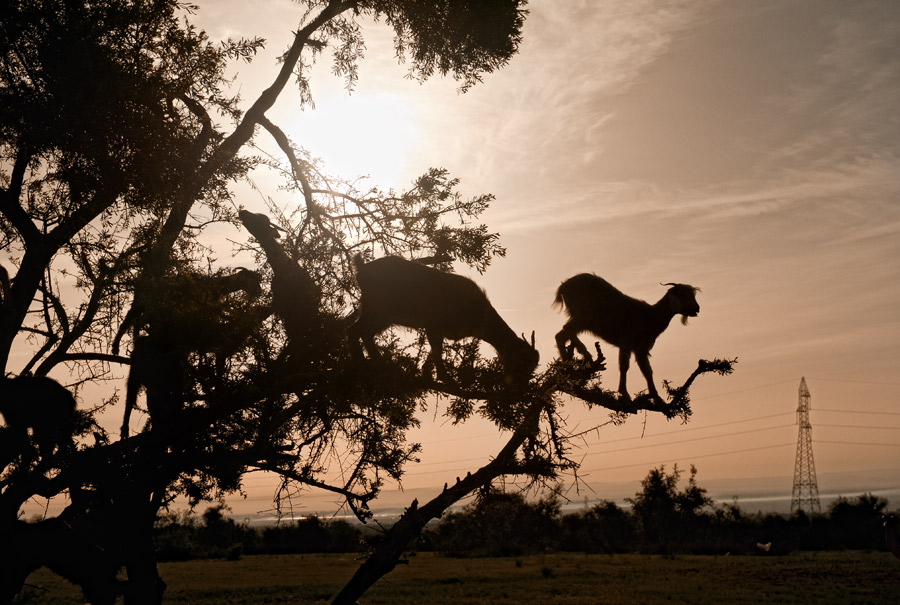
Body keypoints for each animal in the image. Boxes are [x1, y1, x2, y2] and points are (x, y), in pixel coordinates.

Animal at [350, 252, 536, 384]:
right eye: (521, 362)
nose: (521, 387)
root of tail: (362, 269)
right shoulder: (434, 324)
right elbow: (437, 351)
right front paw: (446, 378)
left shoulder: (439, 331)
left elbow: (434, 352)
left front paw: (427, 373)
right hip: (375, 309)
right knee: (354, 330)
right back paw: (361, 362)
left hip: (384, 317)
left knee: (366, 334)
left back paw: (379, 362)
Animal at [552, 274, 700, 402]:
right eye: (683, 294)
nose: (697, 308)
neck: (651, 316)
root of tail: (563, 287)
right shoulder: (627, 343)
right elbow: (624, 367)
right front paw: (625, 394)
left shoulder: (640, 348)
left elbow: (647, 371)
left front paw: (657, 398)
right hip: (583, 315)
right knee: (567, 330)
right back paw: (585, 354)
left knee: (560, 335)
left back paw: (567, 364)